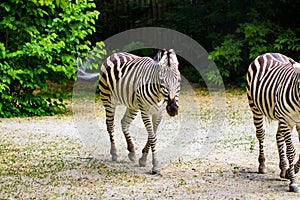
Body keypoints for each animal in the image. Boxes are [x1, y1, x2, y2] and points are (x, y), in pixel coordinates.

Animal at [246, 52, 300, 192]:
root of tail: (268, 53)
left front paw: (291, 171)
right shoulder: (286, 119)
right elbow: (291, 151)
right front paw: (292, 182)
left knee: (278, 137)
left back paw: (283, 168)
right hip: (255, 107)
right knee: (261, 134)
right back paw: (262, 165)